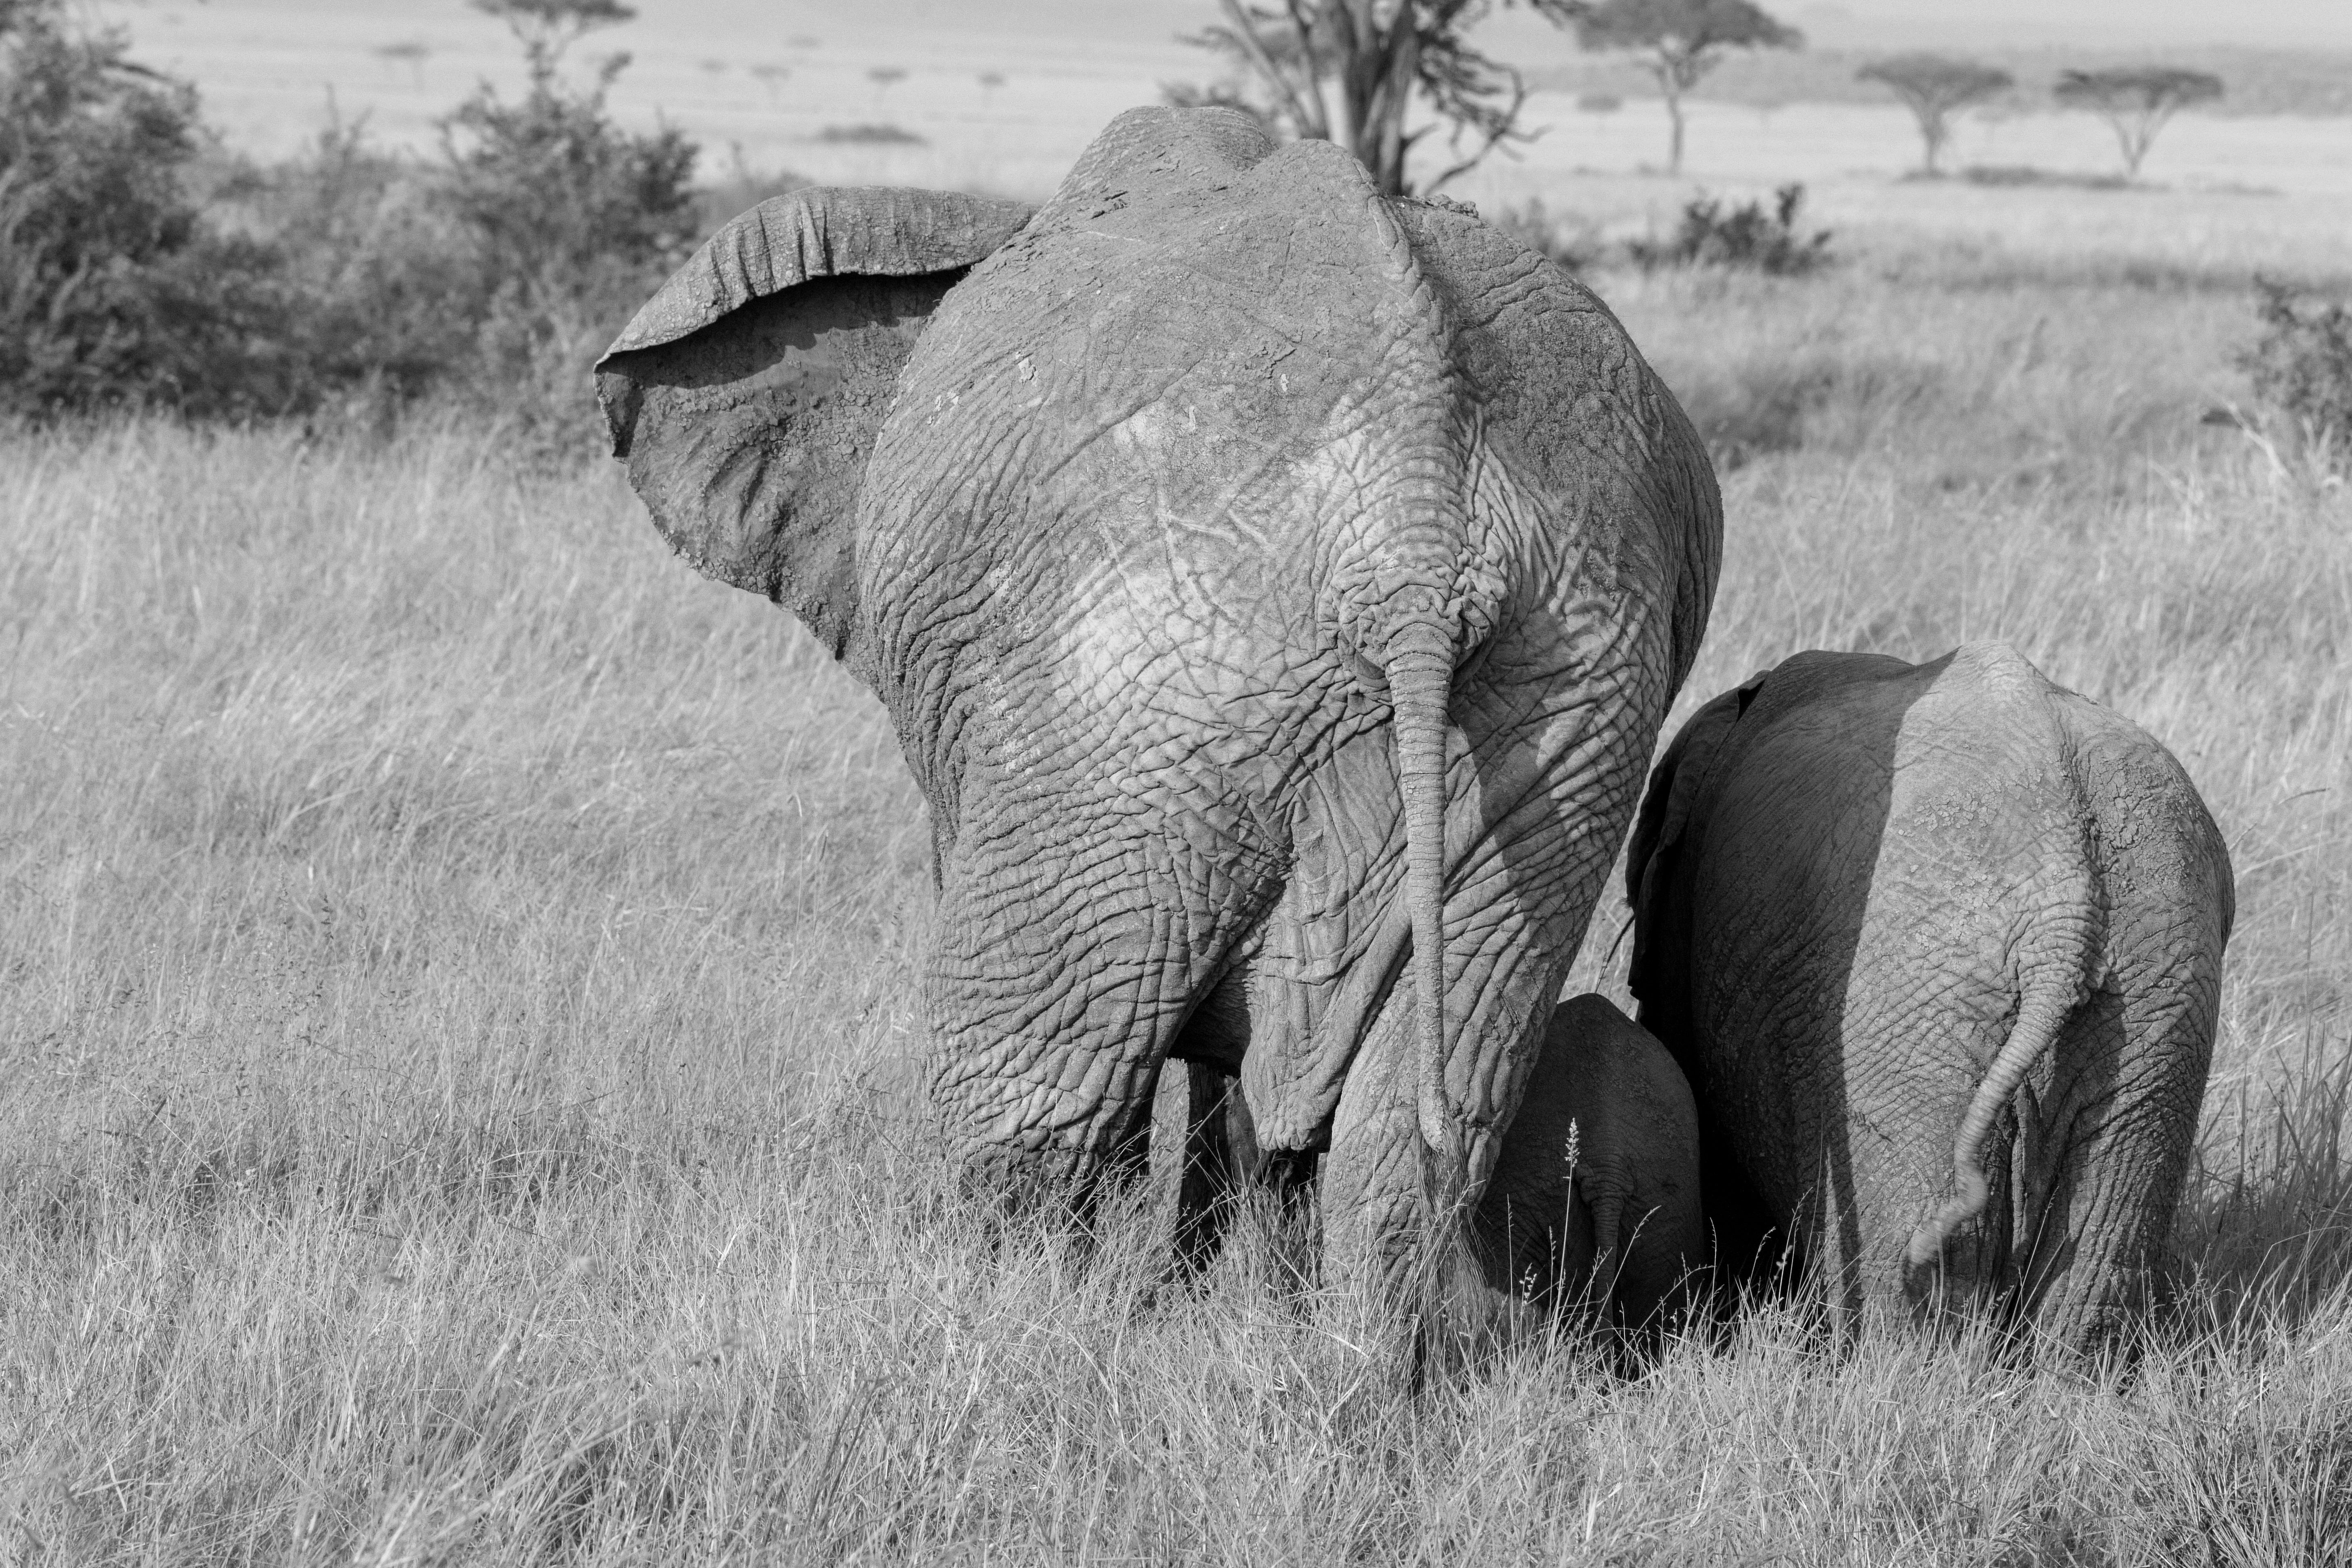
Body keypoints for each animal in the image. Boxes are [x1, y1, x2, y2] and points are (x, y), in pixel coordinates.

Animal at [594, 106, 1722, 1369]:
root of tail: (1414, 525)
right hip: (1564, 693)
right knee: (1418, 1116)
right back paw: (1359, 1382)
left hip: (1135, 676)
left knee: (1029, 1093)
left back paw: (1013, 1339)